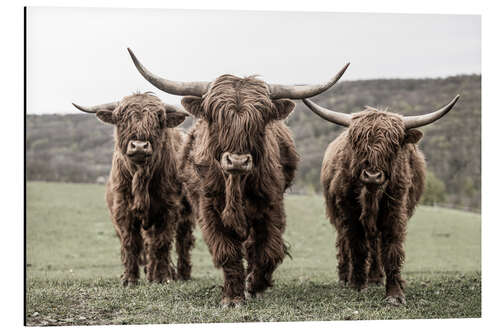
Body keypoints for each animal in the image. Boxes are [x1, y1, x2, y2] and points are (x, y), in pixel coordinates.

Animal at [73, 92, 194, 284]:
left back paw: (181, 274)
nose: (139, 146)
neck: (141, 179)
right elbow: (130, 243)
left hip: (187, 212)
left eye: (159, 118)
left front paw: (162, 277)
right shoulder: (123, 209)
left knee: (183, 239)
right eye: (121, 118)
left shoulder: (168, 208)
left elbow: (162, 242)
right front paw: (130, 279)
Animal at [127, 47, 350, 306]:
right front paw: (233, 297)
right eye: (217, 117)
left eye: (259, 119)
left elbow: (268, 250)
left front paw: (255, 285)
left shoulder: (271, 207)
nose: (237, 161)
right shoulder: (209, 210)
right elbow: (227, 252)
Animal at [302, 94, 458, 304]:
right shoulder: (349, 213)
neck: (371, 195)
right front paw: (357, 285)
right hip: (336, 214)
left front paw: (394, 294)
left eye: (393, 145)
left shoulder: (395, 209)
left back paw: (376, 277)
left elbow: (391, 248)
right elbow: (357, 246)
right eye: (358, 143)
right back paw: (345, 277)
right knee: (344, 243)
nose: (372, 176)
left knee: (375, 244)